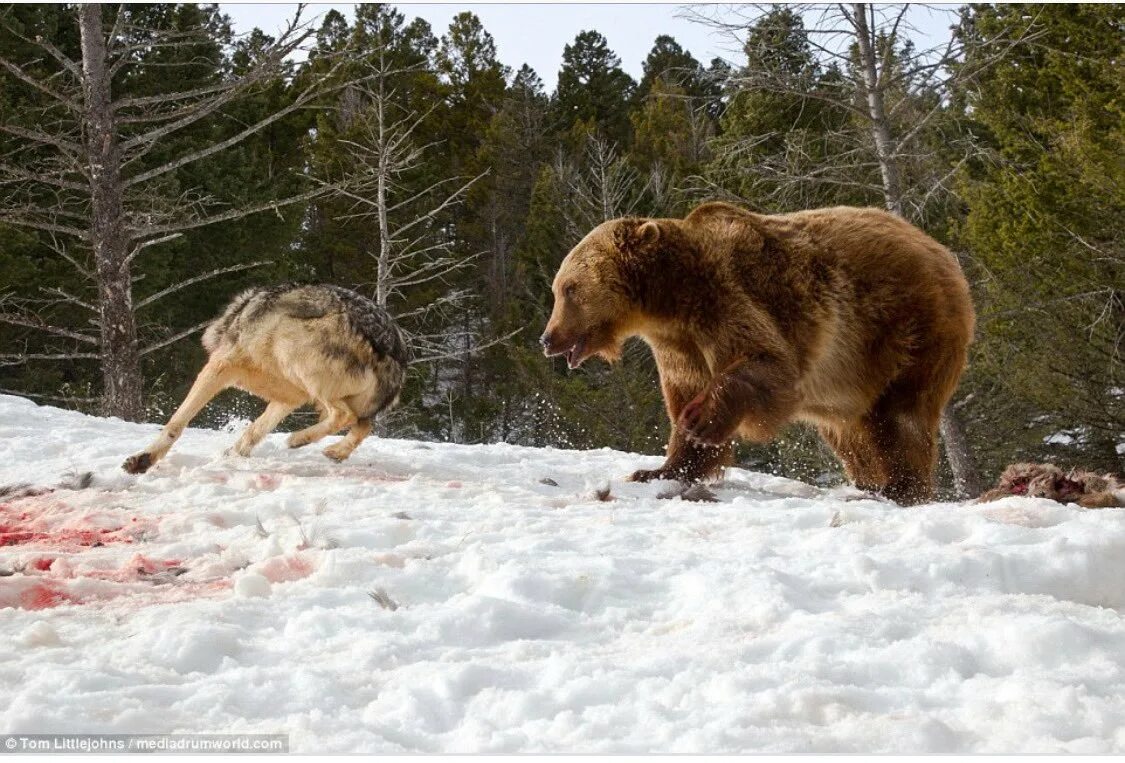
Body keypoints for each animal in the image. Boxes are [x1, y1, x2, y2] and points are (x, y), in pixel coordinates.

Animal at [540, 200, 972, 504]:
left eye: (569, 288)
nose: (547, 338)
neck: (671, 300)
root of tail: (942, 253)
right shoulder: (678, 347)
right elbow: (683, 400)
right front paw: (658, 469)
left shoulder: (727, 300)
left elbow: (767, 364)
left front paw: (702, 420)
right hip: (854, 375)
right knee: (851, 431)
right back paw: (870, 483)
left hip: (905, 330)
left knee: (902, 415)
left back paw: (901, 488)